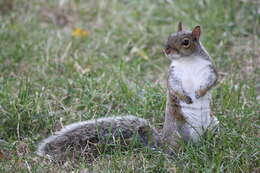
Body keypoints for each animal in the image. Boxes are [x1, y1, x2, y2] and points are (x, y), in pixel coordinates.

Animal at [37, 22, 219, 160]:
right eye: (168, 37)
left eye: (186, 41)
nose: (166, 50)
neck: (188, 61)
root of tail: (162, 142)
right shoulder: (173, 76)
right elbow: (174, 88)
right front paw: (187, 98)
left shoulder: (209, 70)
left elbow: (212, 82)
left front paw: (199, 93)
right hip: (178, 132)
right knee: (173, 150)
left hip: (212, 123)